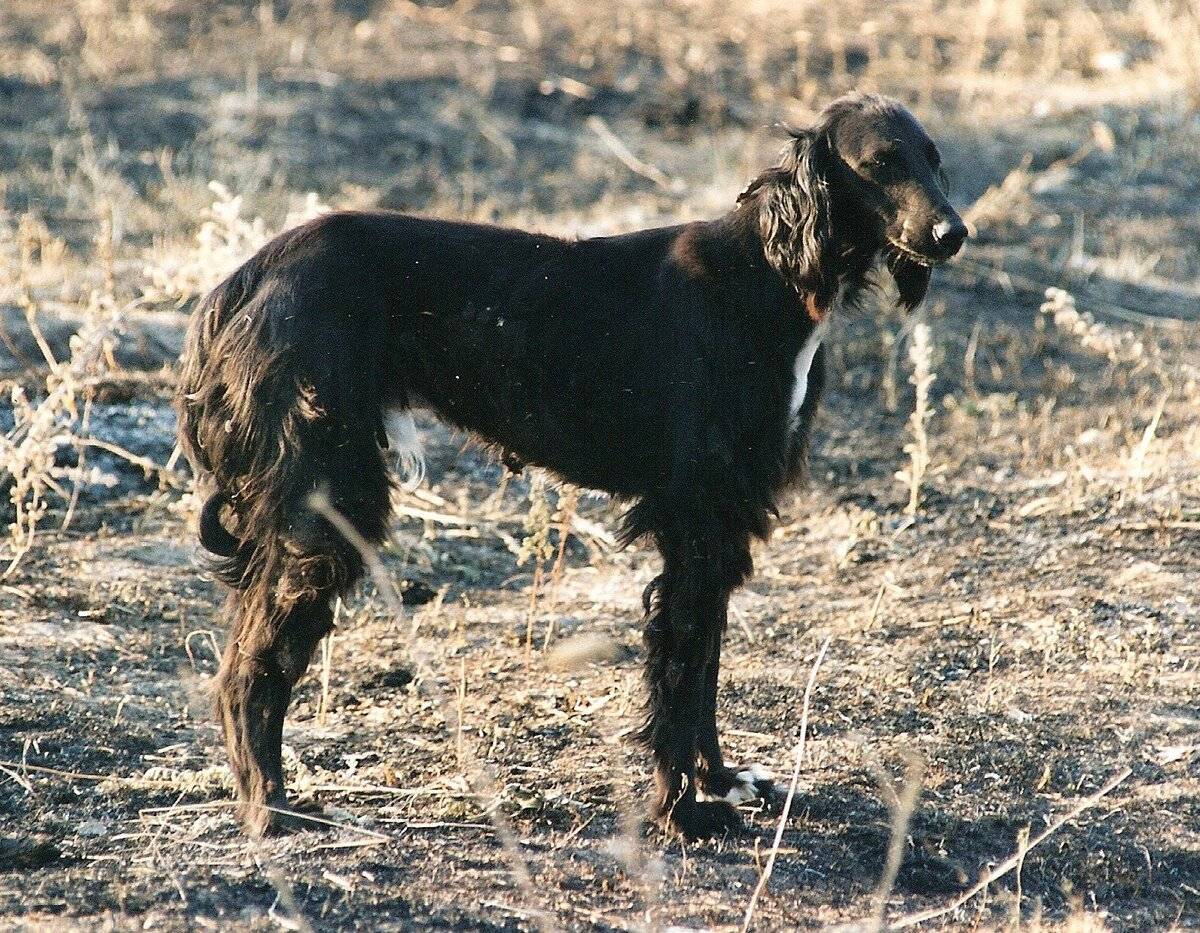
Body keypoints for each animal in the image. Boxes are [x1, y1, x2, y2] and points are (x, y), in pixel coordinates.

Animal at [175, 92, 964, 834]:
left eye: (933, 159)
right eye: (880, 164)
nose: (955, 234)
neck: (769, 273)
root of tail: (241, 281)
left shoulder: (724, 520)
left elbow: (705, 665)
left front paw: (719, 779)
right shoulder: (695, 516)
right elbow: (680, 673)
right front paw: (681, 811)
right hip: (327, 505)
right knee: (248, 667)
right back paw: (271, 808)